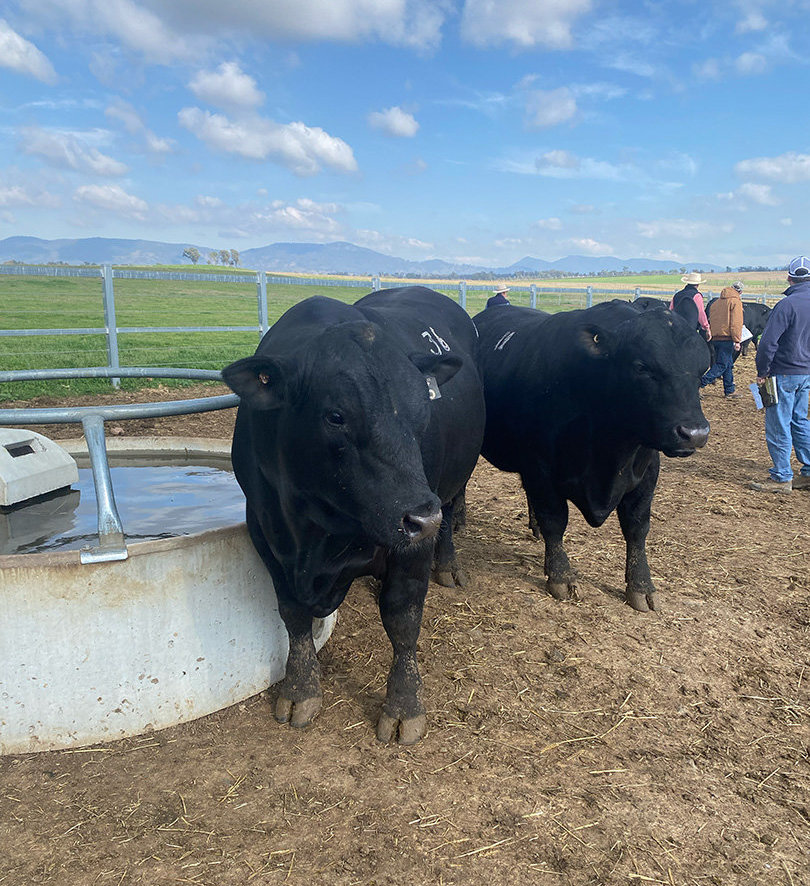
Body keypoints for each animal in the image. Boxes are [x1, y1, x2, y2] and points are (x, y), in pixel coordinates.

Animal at [221, 288, 482, 744]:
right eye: (336, 416)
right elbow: (292, 614)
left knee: (452, 514)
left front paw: (404, 706)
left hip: (452, 487)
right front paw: (301, 689)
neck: (316, 534)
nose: (421, 517)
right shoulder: (265, 530)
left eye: (423, 412)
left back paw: (448, 565)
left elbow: (402, 619)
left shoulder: (412, 548)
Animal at [474, 302, 708, 612]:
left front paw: (641, 586)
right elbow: (555, 520)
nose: (694, 432)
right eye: (642, 367)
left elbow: (637, 527)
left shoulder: (647, 472)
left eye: (702, 371)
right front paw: (560, 575)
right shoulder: (539, 467)